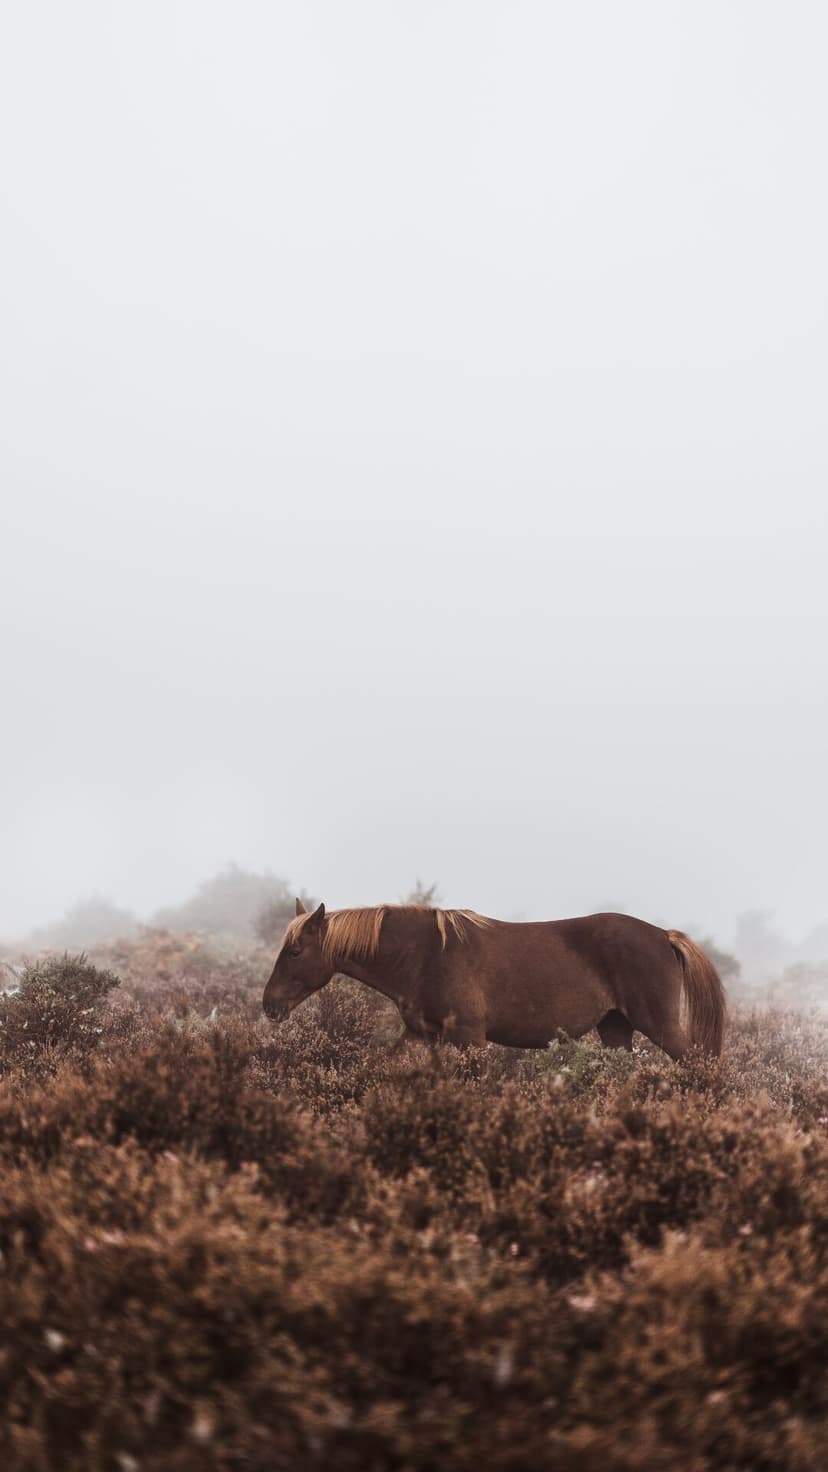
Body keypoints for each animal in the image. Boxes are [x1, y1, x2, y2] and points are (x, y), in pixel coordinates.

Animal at [262, 899, 726, 1058]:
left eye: (296, 951)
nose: (269, 1005)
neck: (425, 955)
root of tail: (663, 935)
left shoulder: (470, 1037)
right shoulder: (421, 1034)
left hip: (659, 1025)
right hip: (615, 1029)